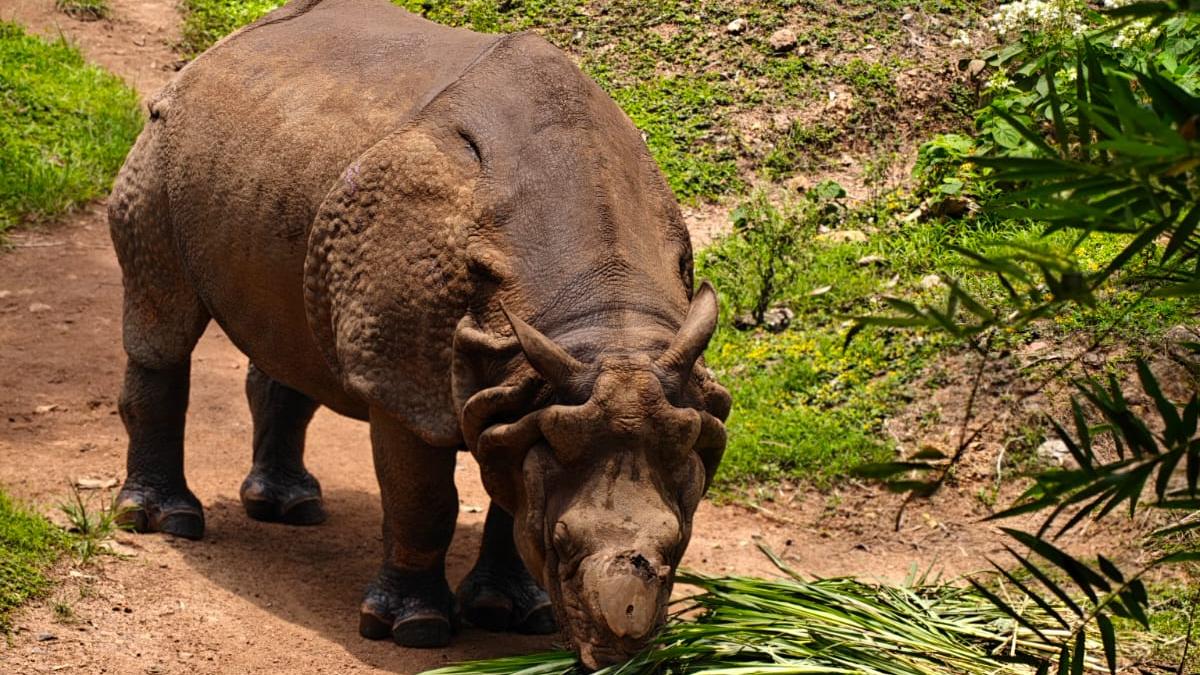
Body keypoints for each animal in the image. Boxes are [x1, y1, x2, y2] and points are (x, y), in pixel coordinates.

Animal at [107, 0, 731, 667]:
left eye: (677, 547)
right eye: (561, 544)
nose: (619, 654)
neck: (596, 323)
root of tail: (214, 51)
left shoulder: (530, 392)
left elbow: (511, 494)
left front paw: (514, 615)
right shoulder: (403, 383)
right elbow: (424, 500)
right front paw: (415, 628)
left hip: (271, 160)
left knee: (290, 335)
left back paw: (292, 509)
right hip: (164, 139)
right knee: (162, 323)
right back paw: (162, 522)